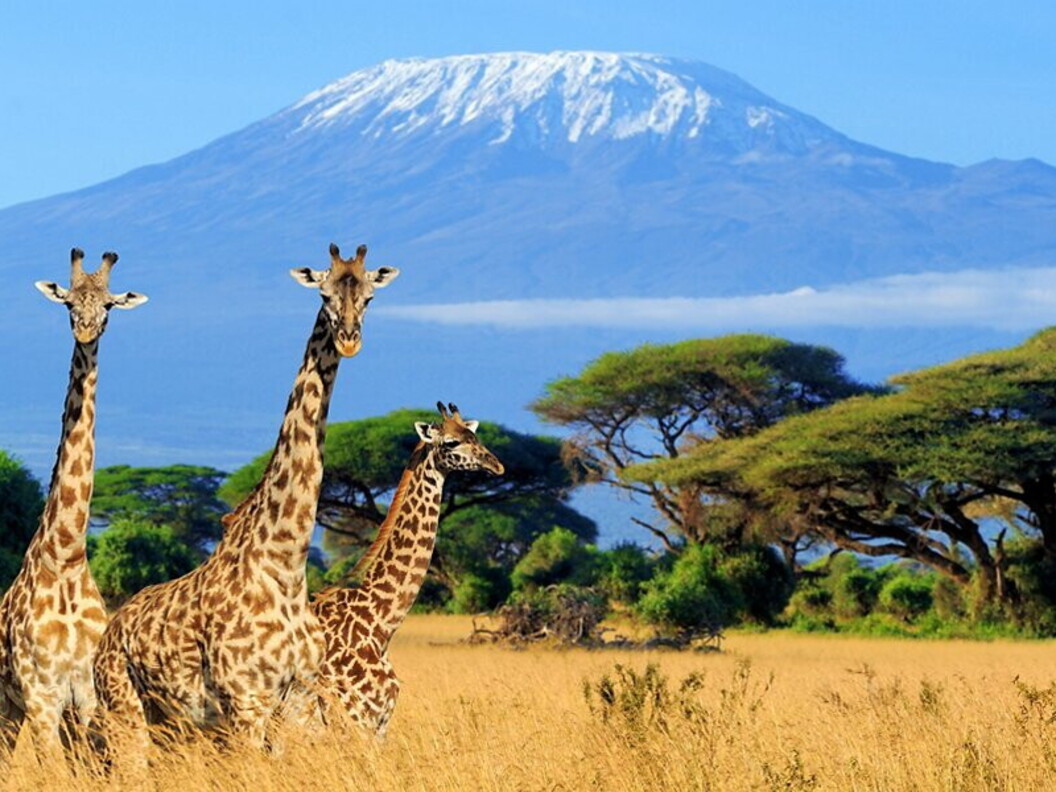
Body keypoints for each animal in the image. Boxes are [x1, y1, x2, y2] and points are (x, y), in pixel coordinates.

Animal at [0, 248, 147, 756]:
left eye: (108, 306)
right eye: (68, 303)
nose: (85, 330)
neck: (65, 554)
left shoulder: (83, 693)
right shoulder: (41, 693)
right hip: (8, 703)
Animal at [92, 243, 398, 751]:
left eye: (370, 297)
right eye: (324, 294)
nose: (350, 339)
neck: (285, 564)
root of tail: (109, 632)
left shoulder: (299, 701)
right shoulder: (246, 701)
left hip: (172, 725)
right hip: (126, 710)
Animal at [311, 402, 504, 736]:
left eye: (474, 436)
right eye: (451, 442)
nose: (497, 466)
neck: (380, 622)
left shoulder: (379, 724)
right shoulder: (356, 720)